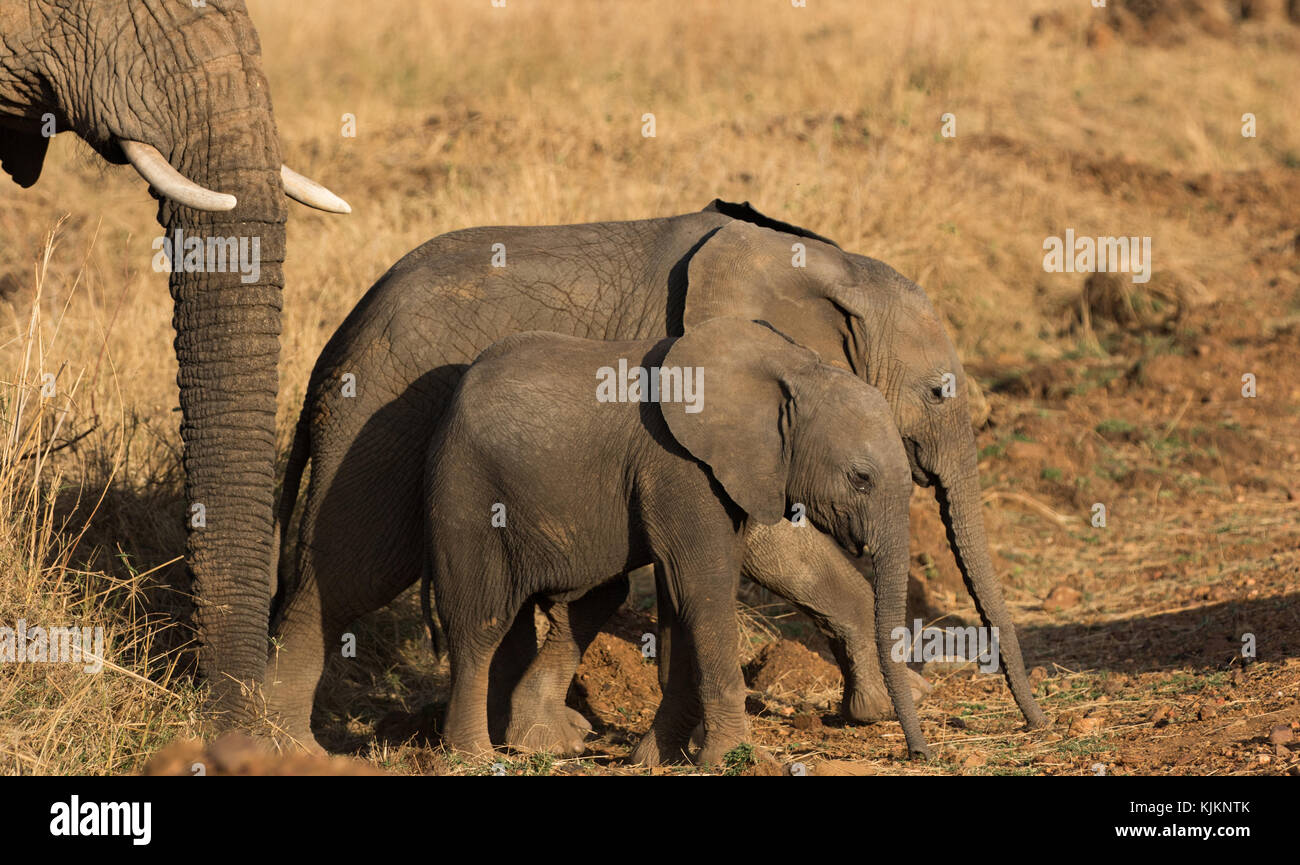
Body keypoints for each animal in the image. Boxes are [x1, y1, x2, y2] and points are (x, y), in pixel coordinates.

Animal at [423, 317, 925, 764]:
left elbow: (684, 597)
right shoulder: (678, 467)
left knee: (586, 603)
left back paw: (544, 744)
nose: (916, 754)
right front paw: (733, 758)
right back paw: (475, 755)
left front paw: (654, 758)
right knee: (480, 620)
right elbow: (705, 588)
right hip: (466, 491)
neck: (792, 368)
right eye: (861, 478)